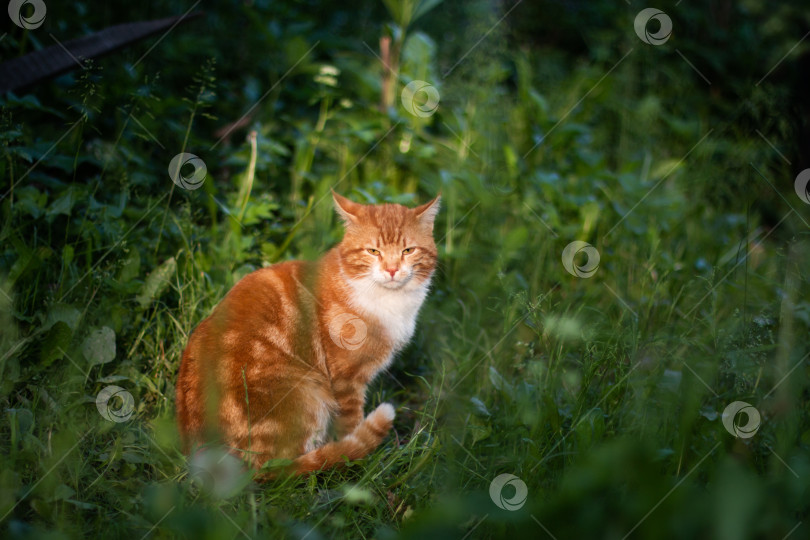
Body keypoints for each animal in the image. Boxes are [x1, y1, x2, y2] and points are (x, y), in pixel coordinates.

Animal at [176, 191, 438, 476]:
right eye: (373, 251)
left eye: (408, 250)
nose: (391, 270)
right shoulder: (346, 380)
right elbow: (351, 425)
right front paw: (360, 464)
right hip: (309, 392)